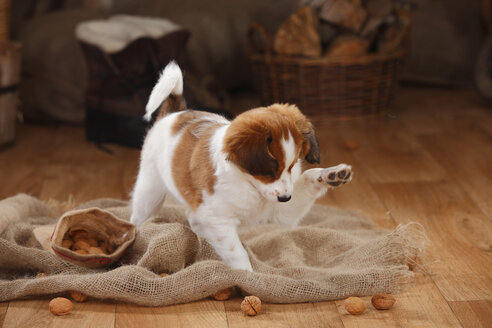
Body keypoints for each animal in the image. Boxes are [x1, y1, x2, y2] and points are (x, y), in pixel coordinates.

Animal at [131, 61, 354, 272]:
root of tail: (174, 113)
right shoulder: (218, 219)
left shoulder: (281, 212)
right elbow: (237, 253)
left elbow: (308, 178)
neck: (248, 183)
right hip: (149, 192)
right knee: (138, 218)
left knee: (193, 219)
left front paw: (332, 174)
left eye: (291, 166)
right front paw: (248, 278)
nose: (285, 198)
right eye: (271, 170)